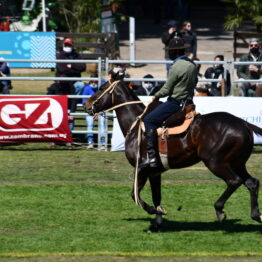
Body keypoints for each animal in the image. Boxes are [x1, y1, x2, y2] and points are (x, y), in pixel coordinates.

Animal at [84, 74, 262, 232]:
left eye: (101, 88)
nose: (86, 105)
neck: (136, 125)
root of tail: (243, 124)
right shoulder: (154, 172)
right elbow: (156, 196)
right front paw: (156, 223)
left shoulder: (141, 169)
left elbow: (135, 196)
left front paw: (154, 211)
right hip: (237, 163)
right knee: (251, 183)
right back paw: (256, 215)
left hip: (216, 163)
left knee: (234, 181)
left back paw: (220, 210)